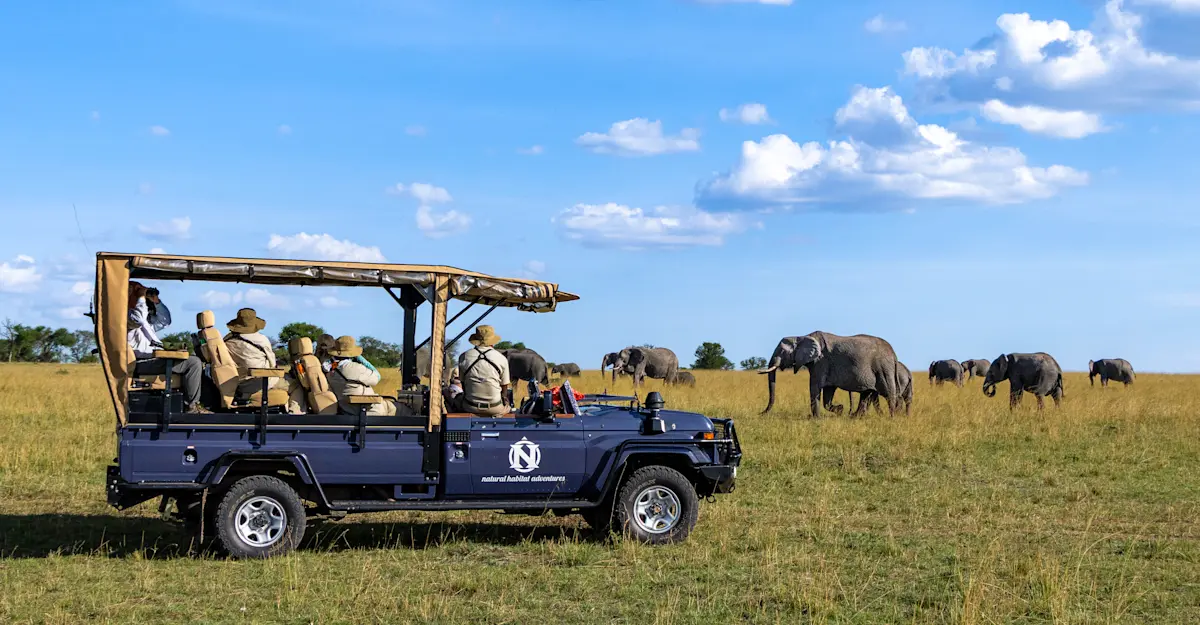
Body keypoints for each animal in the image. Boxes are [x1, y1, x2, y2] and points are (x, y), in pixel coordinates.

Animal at [759, 331, 902, 417]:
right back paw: (855, 417)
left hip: (883, 369)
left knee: (889, 393)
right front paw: (840, 410)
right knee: (866, 394)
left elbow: (815, 387)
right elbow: (828, 393)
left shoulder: (821, 362)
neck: (802, 336)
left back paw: (892, 417)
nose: (761, 413)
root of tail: (894, 354)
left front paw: (816, 419)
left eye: (782, 351)